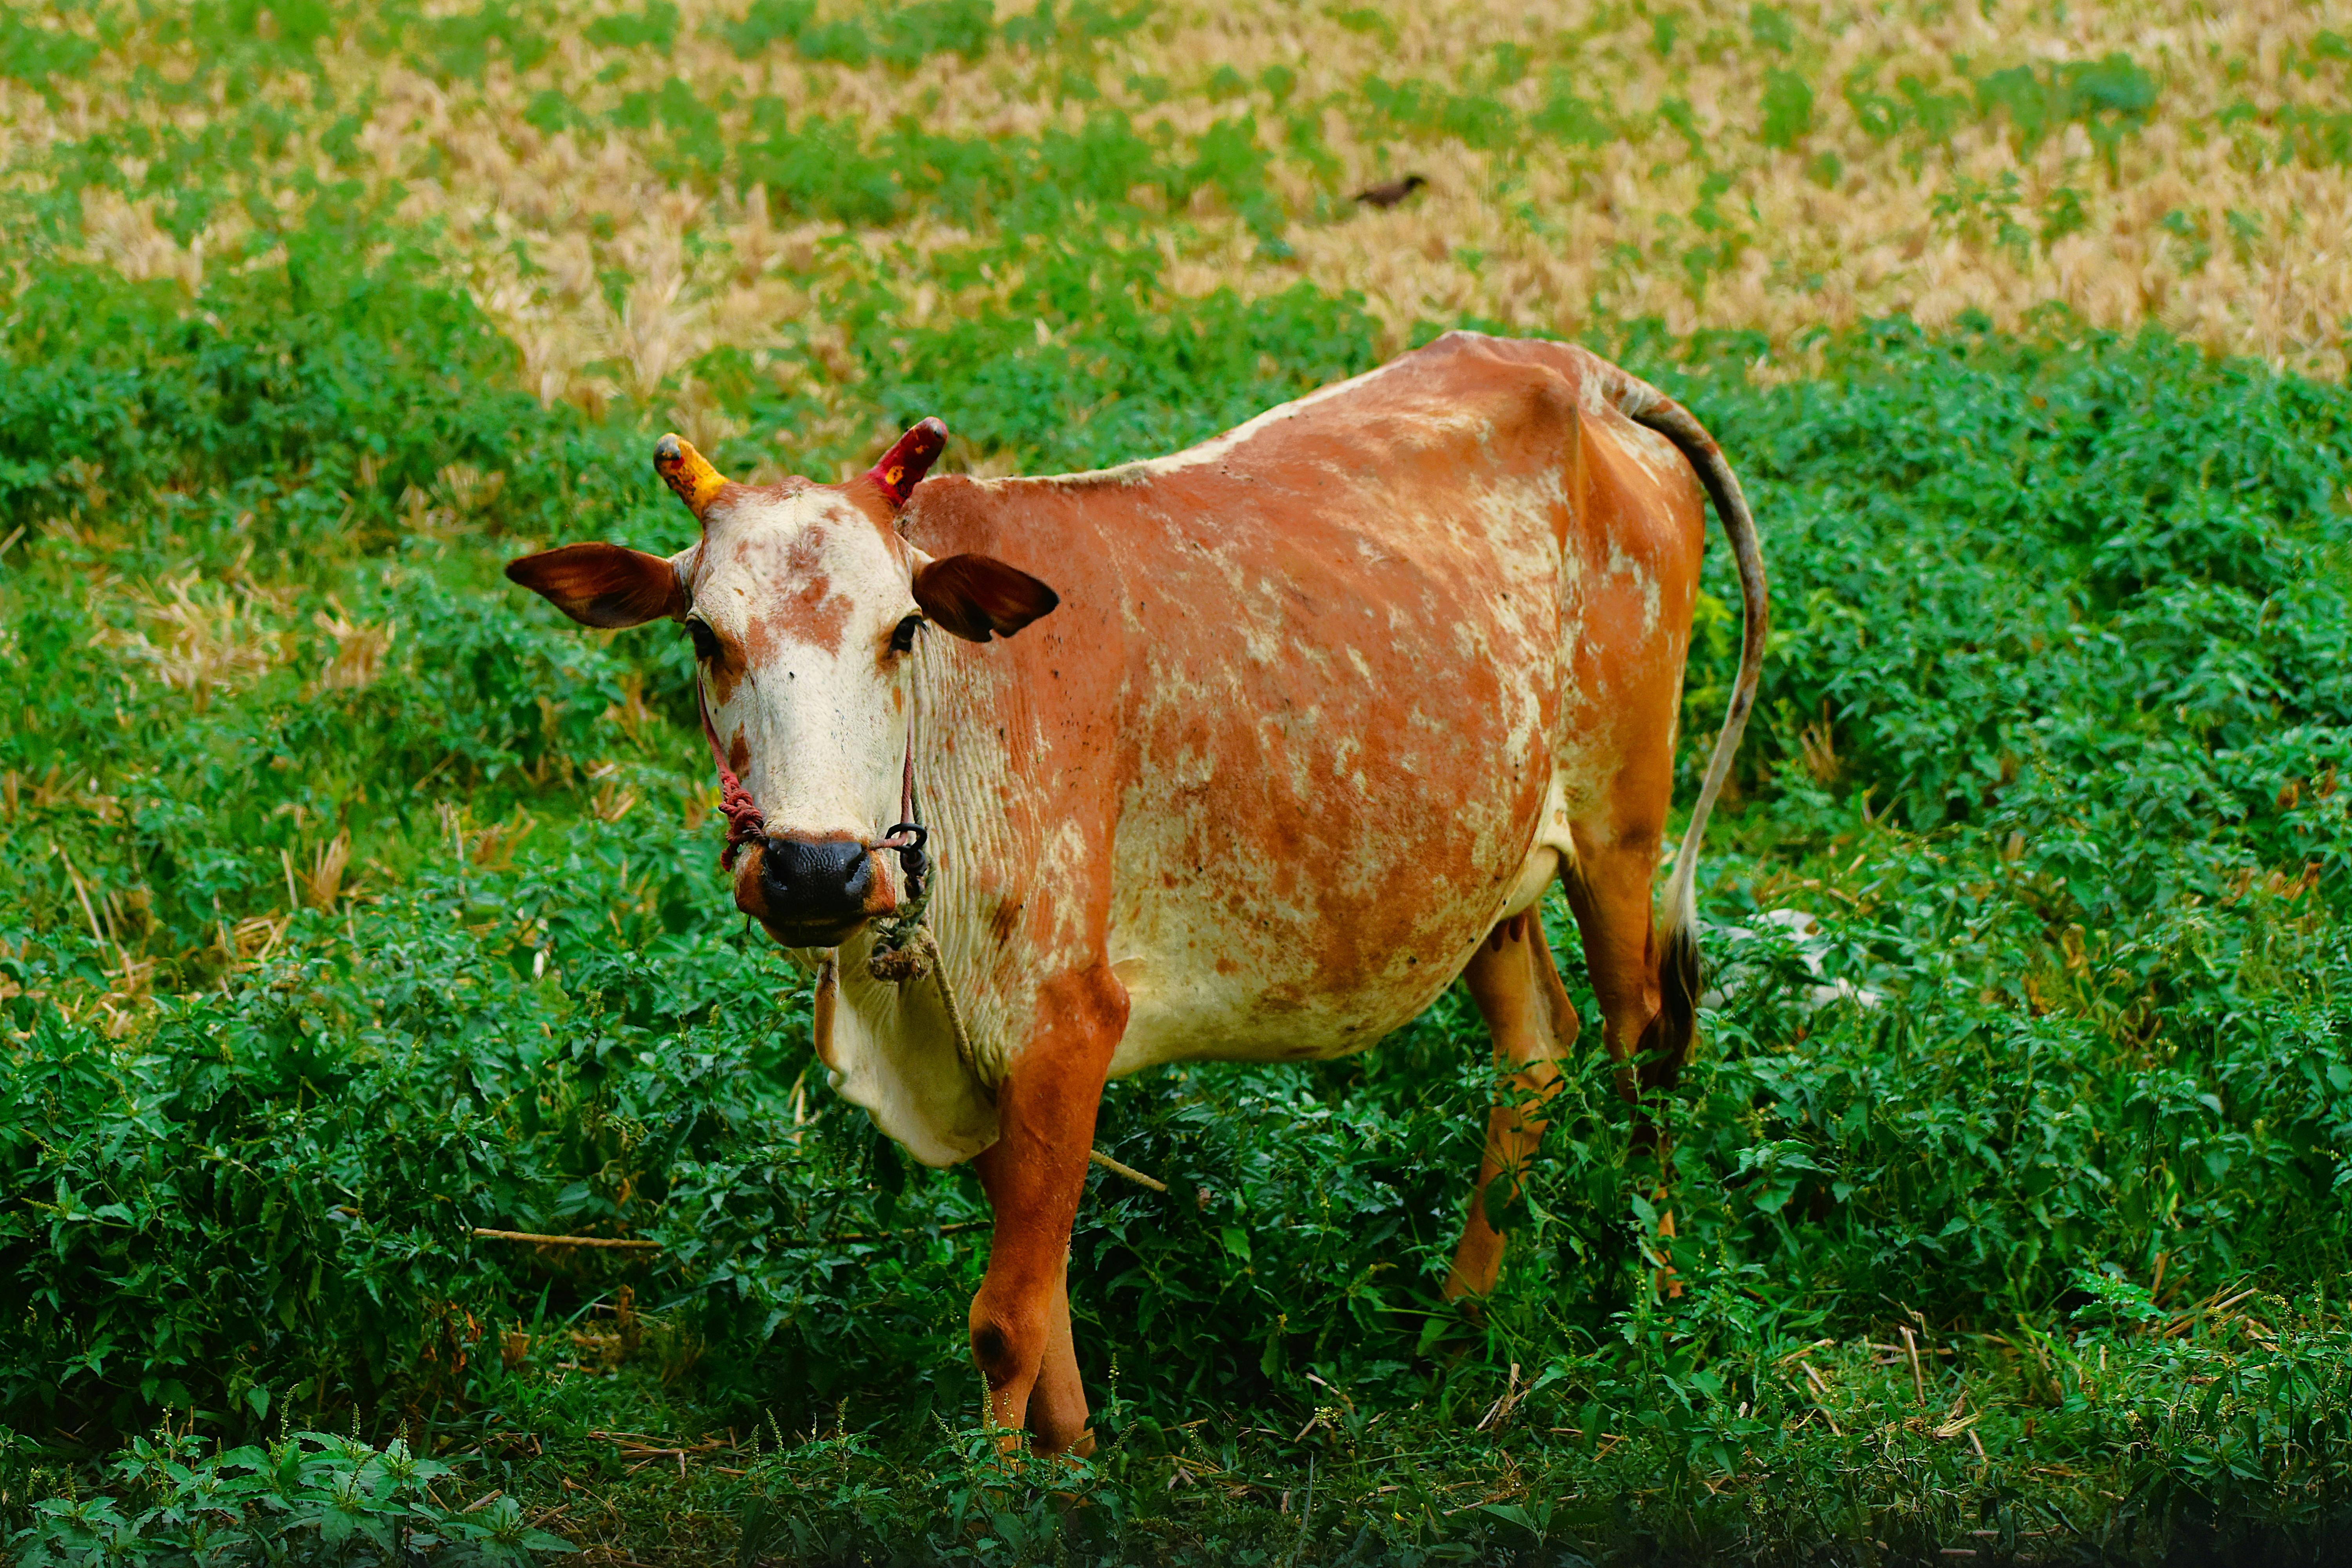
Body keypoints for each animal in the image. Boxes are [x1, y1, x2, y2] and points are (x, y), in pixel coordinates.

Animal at [506, 330, 1767, 1456]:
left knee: (1643, 1048)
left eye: (904, 630)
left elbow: (1007, 1323)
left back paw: (1656, 1301)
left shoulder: (1069, 1022)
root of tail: (1577, 371)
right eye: (702, 634)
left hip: (1620, 829)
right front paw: (1074, 1464)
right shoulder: (986, 1062)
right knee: (1537, 1048)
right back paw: (1458, 1323)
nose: (816, 867)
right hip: (1485, 866)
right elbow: (1047, 1307)